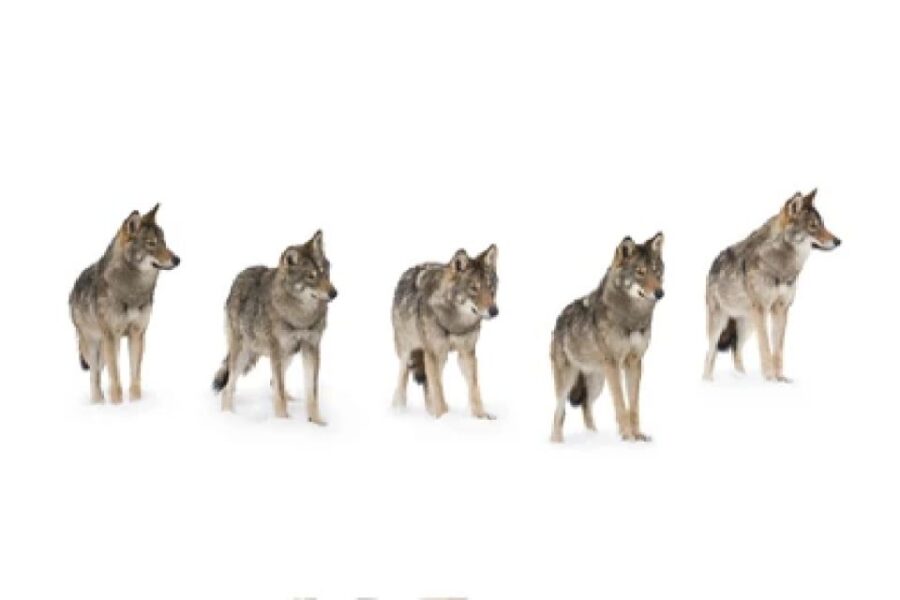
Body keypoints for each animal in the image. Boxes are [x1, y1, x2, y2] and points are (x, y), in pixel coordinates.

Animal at [69, 204, 181, 403]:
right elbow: (115, 376)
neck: (133, 290)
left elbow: (135, 375)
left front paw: (135, 402)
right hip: (95, 346)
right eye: (151, 243)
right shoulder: (111, 335)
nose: (177, 260)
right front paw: (117, 404)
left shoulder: (137, 333)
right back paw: (98, 402)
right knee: (94, 375)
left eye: (164, 242)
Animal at [212, 231, 337, 423]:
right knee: (229, 387)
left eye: (325, 272)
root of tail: (239, 277)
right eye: (310, 276)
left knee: (272, 382)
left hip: (289, 353)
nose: (334, 293)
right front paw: (283, 421)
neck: (301, 316)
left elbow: (312, 393)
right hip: (245, 354)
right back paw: (228, 415)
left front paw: (316, 422)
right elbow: (279, 392)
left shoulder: (311, 348)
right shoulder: (277, 350)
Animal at [391, 245, 499, 419]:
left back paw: (430, 412)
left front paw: (481, 417)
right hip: (409, 354)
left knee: (428, 387)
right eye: (474, 289)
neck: (454, 323)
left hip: (440, 359)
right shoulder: (433, 354)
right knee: (403, 383)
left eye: (490, 287)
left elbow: (474, 389)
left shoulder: (467, 353)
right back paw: (398, 411)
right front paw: (443, 417)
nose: (495, 311)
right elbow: (438, 390)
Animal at [550, 233, 665, 443]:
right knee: (559, 413)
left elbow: (633, 406)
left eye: (656, 271)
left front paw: (638, 435)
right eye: (640, 272)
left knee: (586, 407)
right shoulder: (613, 364)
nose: (660, 293)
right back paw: (557, 442)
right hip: (568, 382)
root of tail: (559, 319)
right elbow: (621, 404)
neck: (632, 317)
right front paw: (627, 436)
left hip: (597, 383)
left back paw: (593, 435)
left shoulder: (634, 362)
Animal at [704, 189, 841, 382]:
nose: (838, 241)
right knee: (710, 354)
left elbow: (778, 350)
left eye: (822, 224)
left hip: (747, 325)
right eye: (813, 226)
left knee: (736, 351)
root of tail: (713, 265)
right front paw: (769, 378)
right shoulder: (762, 310)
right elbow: (766, 349)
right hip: (721, 323)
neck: (781, 265)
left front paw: (780, 379)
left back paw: (741, 378)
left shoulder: (781, 309)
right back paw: (708, 381)